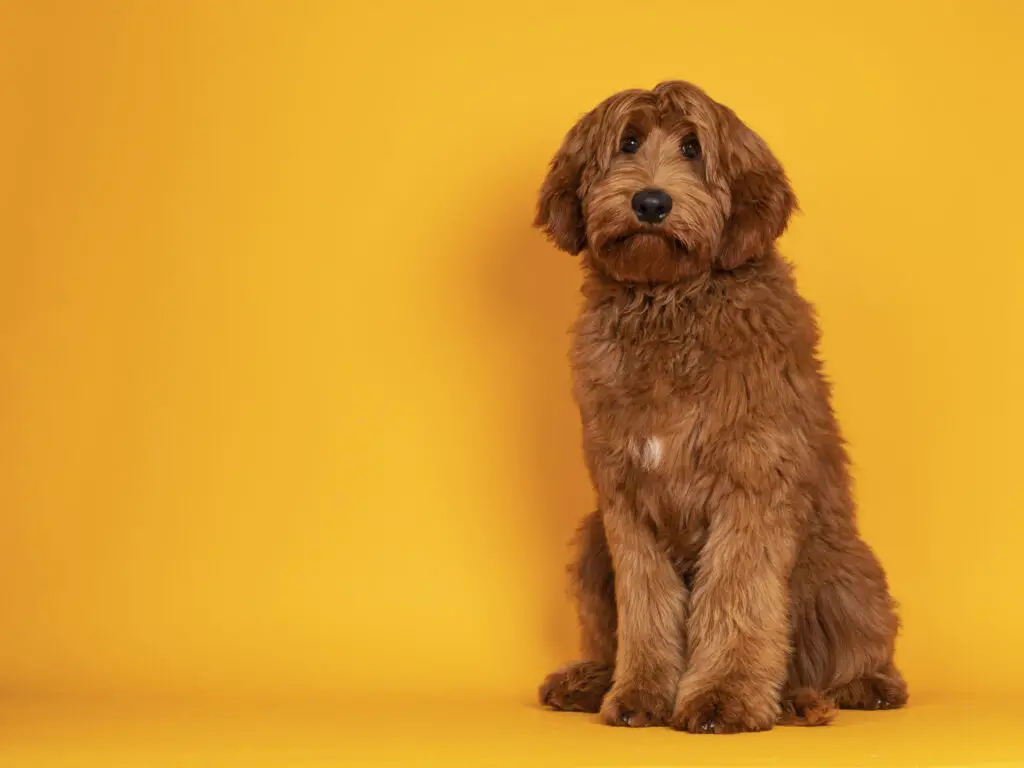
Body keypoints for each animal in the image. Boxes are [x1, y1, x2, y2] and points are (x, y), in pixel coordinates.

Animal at [532, 81, 909, 737]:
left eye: (692, 147)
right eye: (628, 142)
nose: (651, 202)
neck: (669, 304)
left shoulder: (752, 482)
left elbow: (736, 595)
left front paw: (723, 699)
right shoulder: (625, 502)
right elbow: (646, 608)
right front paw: (639, 695)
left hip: (840, 569)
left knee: (854, 651)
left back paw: (851, 688)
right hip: (591, 543)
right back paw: (588, 680)